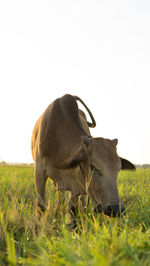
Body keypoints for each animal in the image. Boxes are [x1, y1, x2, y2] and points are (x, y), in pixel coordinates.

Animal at [30, 93, 135, 227]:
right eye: (93, 167)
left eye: (118, 169)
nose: (116, 209)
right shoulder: (39, 172)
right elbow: (41, 207)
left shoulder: (75, 180)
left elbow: (72, 209)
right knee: (60, 196)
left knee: (81, 201)